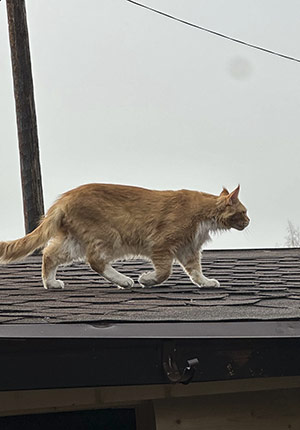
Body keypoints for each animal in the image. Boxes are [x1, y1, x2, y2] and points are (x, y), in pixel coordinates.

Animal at [0, 183, 248, 290]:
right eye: (244, 212)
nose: (249, 221)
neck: (204, 213)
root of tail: (66, 197)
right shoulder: (161, 244)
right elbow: (164, 272)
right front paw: (147, 279)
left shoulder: (188, 249)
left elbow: (195, 271)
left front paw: (206, 282)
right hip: (109, 236)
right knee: (95, 261)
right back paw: (123, 280)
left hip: (74, 241)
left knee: (49, 254)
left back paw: (50, 283)